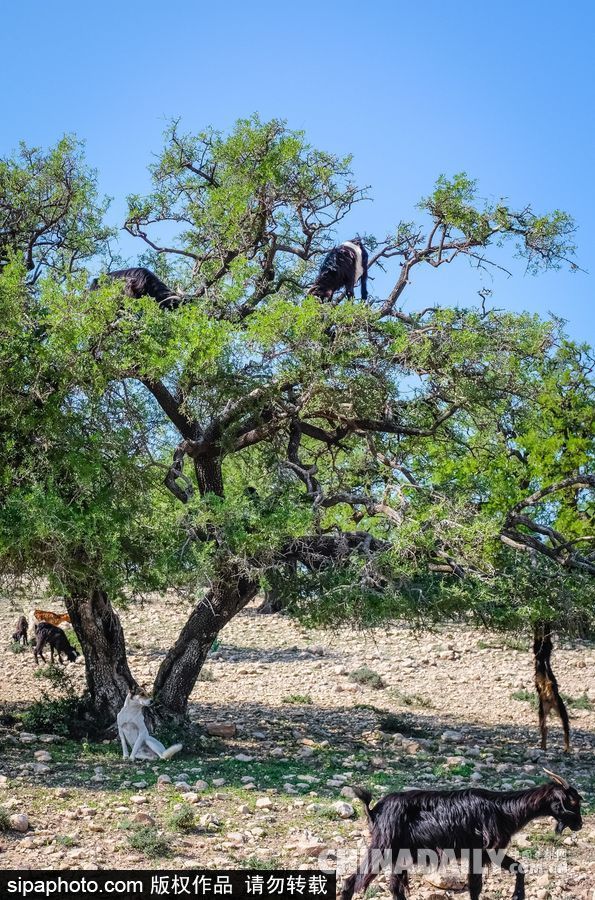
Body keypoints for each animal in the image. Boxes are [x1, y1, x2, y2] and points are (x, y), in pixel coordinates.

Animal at [344, 768, 584, 900]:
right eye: (572, 802)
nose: (580, 825)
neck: (504, 810)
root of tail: (374, 810)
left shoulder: (483, 853)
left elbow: (512, 870)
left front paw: (517, 895)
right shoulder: (485, 851)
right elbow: (479, 885)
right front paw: (517, 895)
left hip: (398, 854)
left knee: (395, 887)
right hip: (383, 847)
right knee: (352, 882)